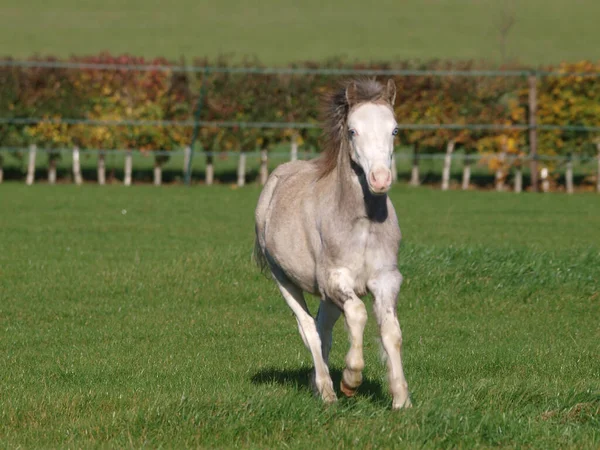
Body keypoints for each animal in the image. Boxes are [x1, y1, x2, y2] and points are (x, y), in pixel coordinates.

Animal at [253, 79, 412, 410]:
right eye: (352, 130)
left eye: (394, 130)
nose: (380, 179)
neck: (362, 224)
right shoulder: (335, 279)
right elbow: (359, 314)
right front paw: (351, 380)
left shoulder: (386, 279)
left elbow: (391, 332)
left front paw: (401, 399)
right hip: (284, 278)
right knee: (309, 330)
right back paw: (327, 391)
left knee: (322, 327)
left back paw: (317, 385)